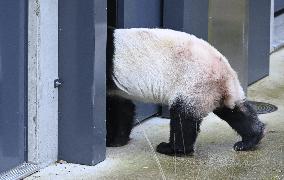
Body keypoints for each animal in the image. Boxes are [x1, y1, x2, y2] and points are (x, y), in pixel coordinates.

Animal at [105, 27, 266, 155]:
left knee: (183, 117)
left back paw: (171, 148)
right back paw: (250, 139)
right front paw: (117, 140)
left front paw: (110, 140)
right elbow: (122, 108)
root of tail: (223, 70)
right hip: (219, 90)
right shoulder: (117, 91)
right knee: (235, 111)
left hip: (193, 83)